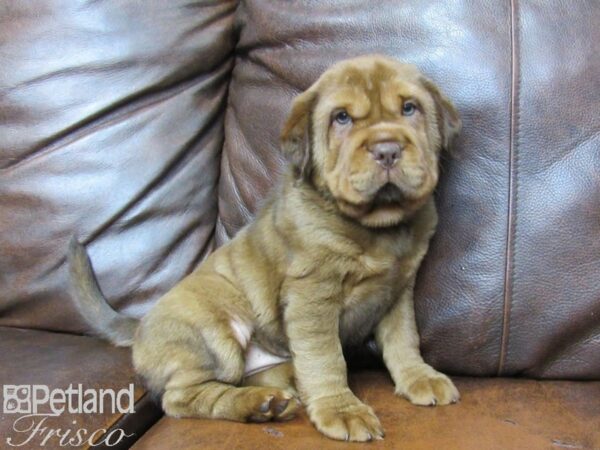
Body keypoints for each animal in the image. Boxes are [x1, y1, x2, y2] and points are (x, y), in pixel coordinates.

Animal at [71, 54, 464, 442]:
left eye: (409, 108)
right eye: (341, 118)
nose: (387, 150)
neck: (378, 227)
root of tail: (139, 326)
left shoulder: (397, 290)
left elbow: (403, 340)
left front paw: (420, 377)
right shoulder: (312, 295)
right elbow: (325, 358)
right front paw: (341, 409)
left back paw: (275, 395)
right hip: (215, 330)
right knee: (183, 397)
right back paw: (258, 405)